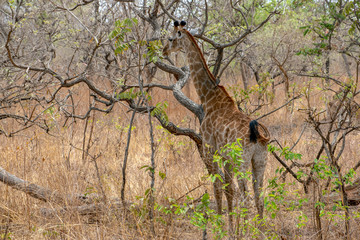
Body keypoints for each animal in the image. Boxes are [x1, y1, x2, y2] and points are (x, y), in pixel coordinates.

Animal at [163, 21, 270, 227]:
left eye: (170, 38)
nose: (164, 51)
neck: (209, 97)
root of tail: (258, 136)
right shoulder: (226, 157)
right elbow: (228, 190)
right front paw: (230, 225)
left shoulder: (209, 148)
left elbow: (217, 185)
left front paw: (220, 223)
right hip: (260, 160)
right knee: (259, 196)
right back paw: (261, 230)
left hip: (242, 161)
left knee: (246, 197)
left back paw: (248, 230)